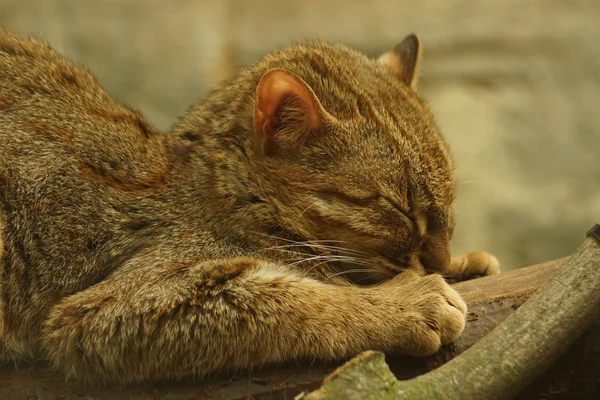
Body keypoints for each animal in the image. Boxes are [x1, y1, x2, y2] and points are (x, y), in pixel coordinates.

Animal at [0, 29, 496, 382]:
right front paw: (407, 304)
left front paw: (463, 264)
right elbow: (300, 298)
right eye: (396, 206)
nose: (441, 259)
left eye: (450, 198)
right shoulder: (108, 309)